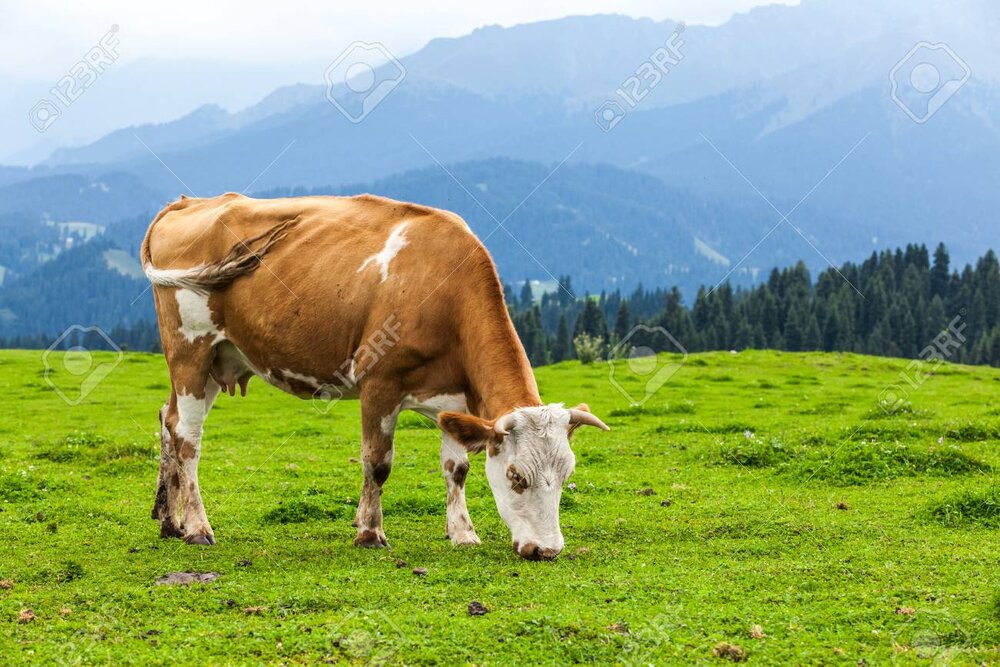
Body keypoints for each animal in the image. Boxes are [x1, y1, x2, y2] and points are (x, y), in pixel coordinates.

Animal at [141, 192, 609, 560]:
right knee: (188, 438)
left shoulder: (454, 400)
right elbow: (378, 462)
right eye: (516, 477)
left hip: (216, 361)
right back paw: (198, 528)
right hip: (190, 350)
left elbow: (456, 468)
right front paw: (370, 532)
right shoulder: (380, 383)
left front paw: (462, 533)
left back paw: (169, 521)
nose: (546, 550)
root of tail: (187, 202)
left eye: (566, 476)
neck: (444, 290)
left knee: (167, 420)